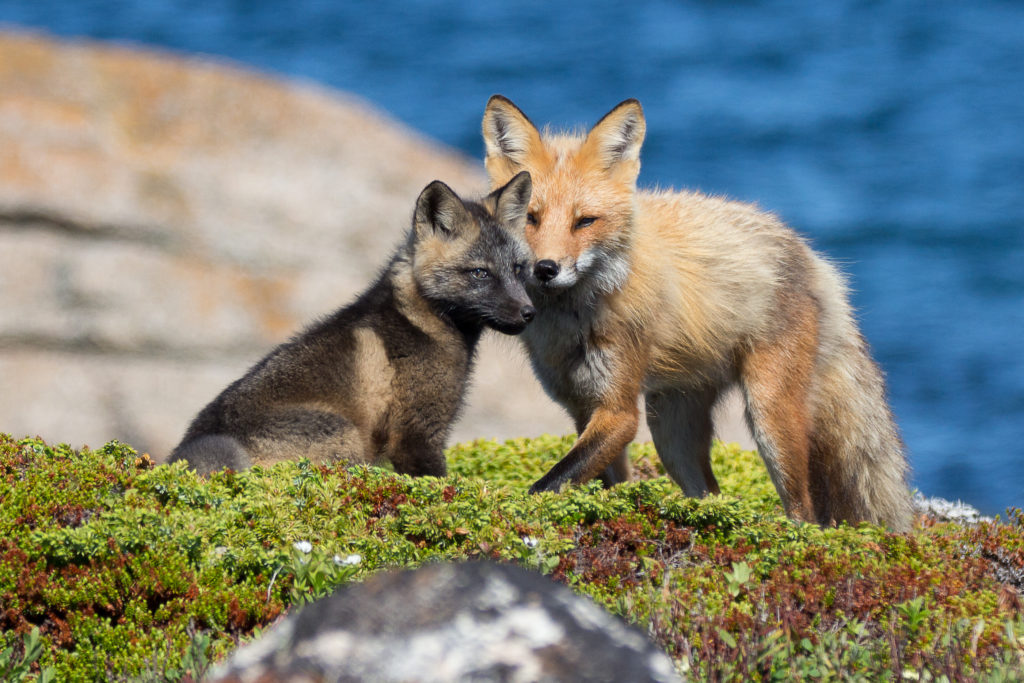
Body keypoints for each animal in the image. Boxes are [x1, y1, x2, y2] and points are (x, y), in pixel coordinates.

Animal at [479, 96, 913, 532]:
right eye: (531, 217)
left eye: (584, 221)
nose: (545, 268)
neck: (572, 318)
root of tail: (811, 255)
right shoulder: (581, 406)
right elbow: (599, 481)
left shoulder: (619, 410)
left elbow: (550, 482)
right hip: (672, 433)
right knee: (712, 494)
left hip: (768, 418)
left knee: (805, 514)